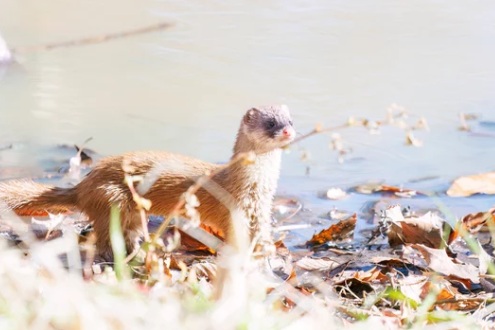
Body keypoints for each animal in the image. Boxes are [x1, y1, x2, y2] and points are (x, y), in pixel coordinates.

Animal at [0, 104, 294, 260]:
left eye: (290, 120)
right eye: (270, 123)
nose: (288, 131)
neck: (257, 184)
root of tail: (82, 186)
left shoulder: (262, 207)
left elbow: (262, 232)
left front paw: (268, 250)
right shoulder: (235, 208)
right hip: (113, 198)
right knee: (104, 236)